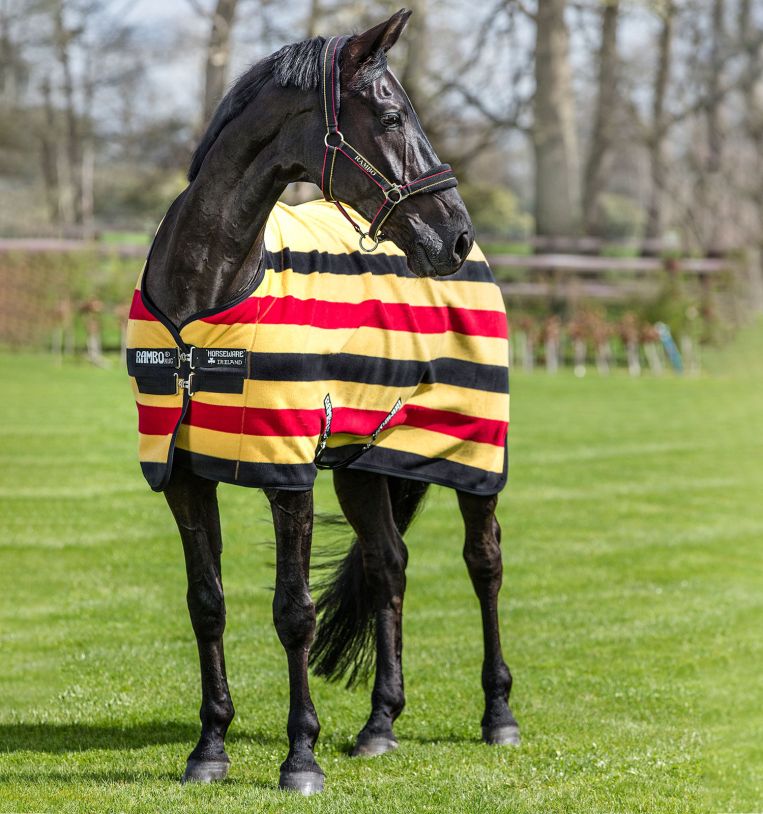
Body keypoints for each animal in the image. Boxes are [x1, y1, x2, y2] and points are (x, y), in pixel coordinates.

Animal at [127, 9, 518, 795]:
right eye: (393, 115)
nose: (454, 233)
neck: (207, 290)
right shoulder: (183, 475)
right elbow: (207, 604)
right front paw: (209, 747)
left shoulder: (289, 476)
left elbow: (293, 612)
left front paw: (299, 757)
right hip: (364, 465)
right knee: (389, 565)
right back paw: (379, 725)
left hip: (474, 453)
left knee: (483, 563)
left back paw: (498, 716)